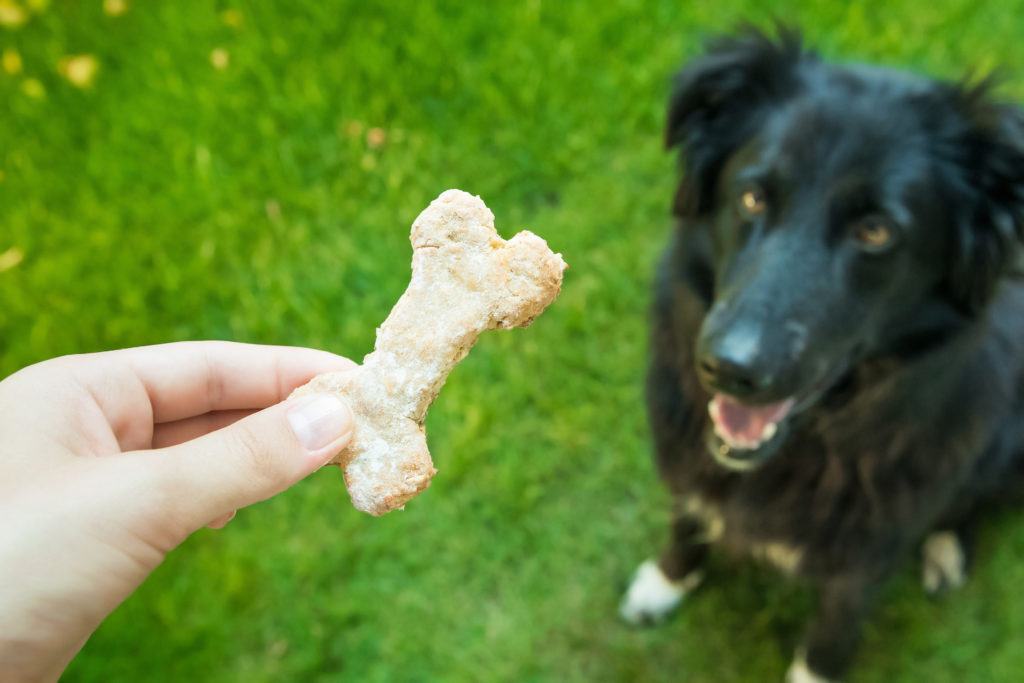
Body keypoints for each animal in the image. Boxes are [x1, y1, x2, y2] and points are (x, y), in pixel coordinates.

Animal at [618, 26, 1024, 683]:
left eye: (876, 232)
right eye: (752, 197)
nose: (728, 370)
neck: (815, 447)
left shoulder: (860, 563)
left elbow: (829, 637)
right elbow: (685, 518)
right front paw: (666, 580)